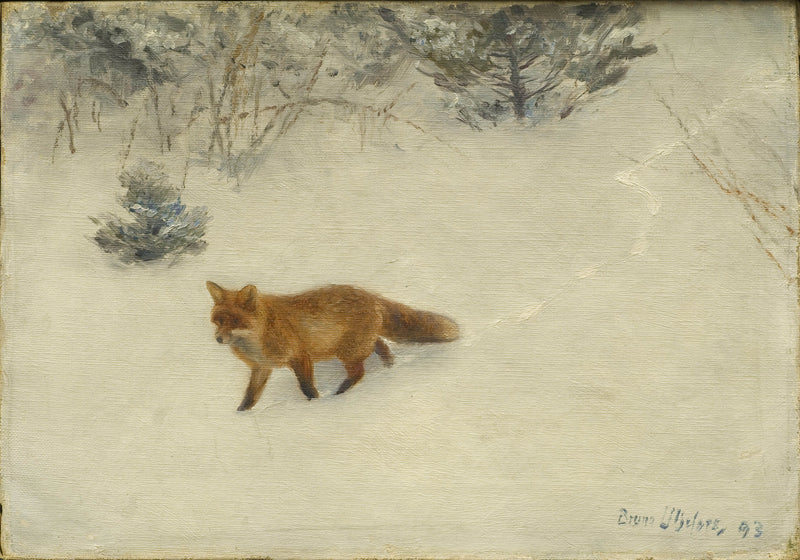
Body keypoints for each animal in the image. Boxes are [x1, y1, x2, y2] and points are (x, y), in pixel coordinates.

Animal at [206, 281, 459, 410]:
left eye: (235, 321)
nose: (218, 339)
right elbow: (249, 397)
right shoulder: (261, 368)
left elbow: (307, 388)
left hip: (348, 351)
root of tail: (370, 295)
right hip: (358, 345)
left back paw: (339, 395)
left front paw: (316, 407)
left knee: (359, 372)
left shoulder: (300, 357)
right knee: (381, 345)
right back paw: (389, 368)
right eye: (218, 321)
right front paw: (240, 415)